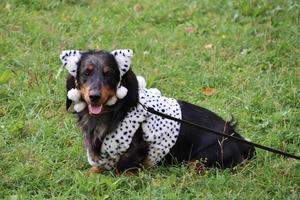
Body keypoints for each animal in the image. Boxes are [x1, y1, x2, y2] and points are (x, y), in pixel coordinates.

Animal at [59, 48, 254, 173]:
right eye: (86, 73)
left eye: (109, 74)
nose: (94, 96)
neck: (112, 112)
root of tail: (237, 137)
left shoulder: (136, 149)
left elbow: (121, 169)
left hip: (205, 156)